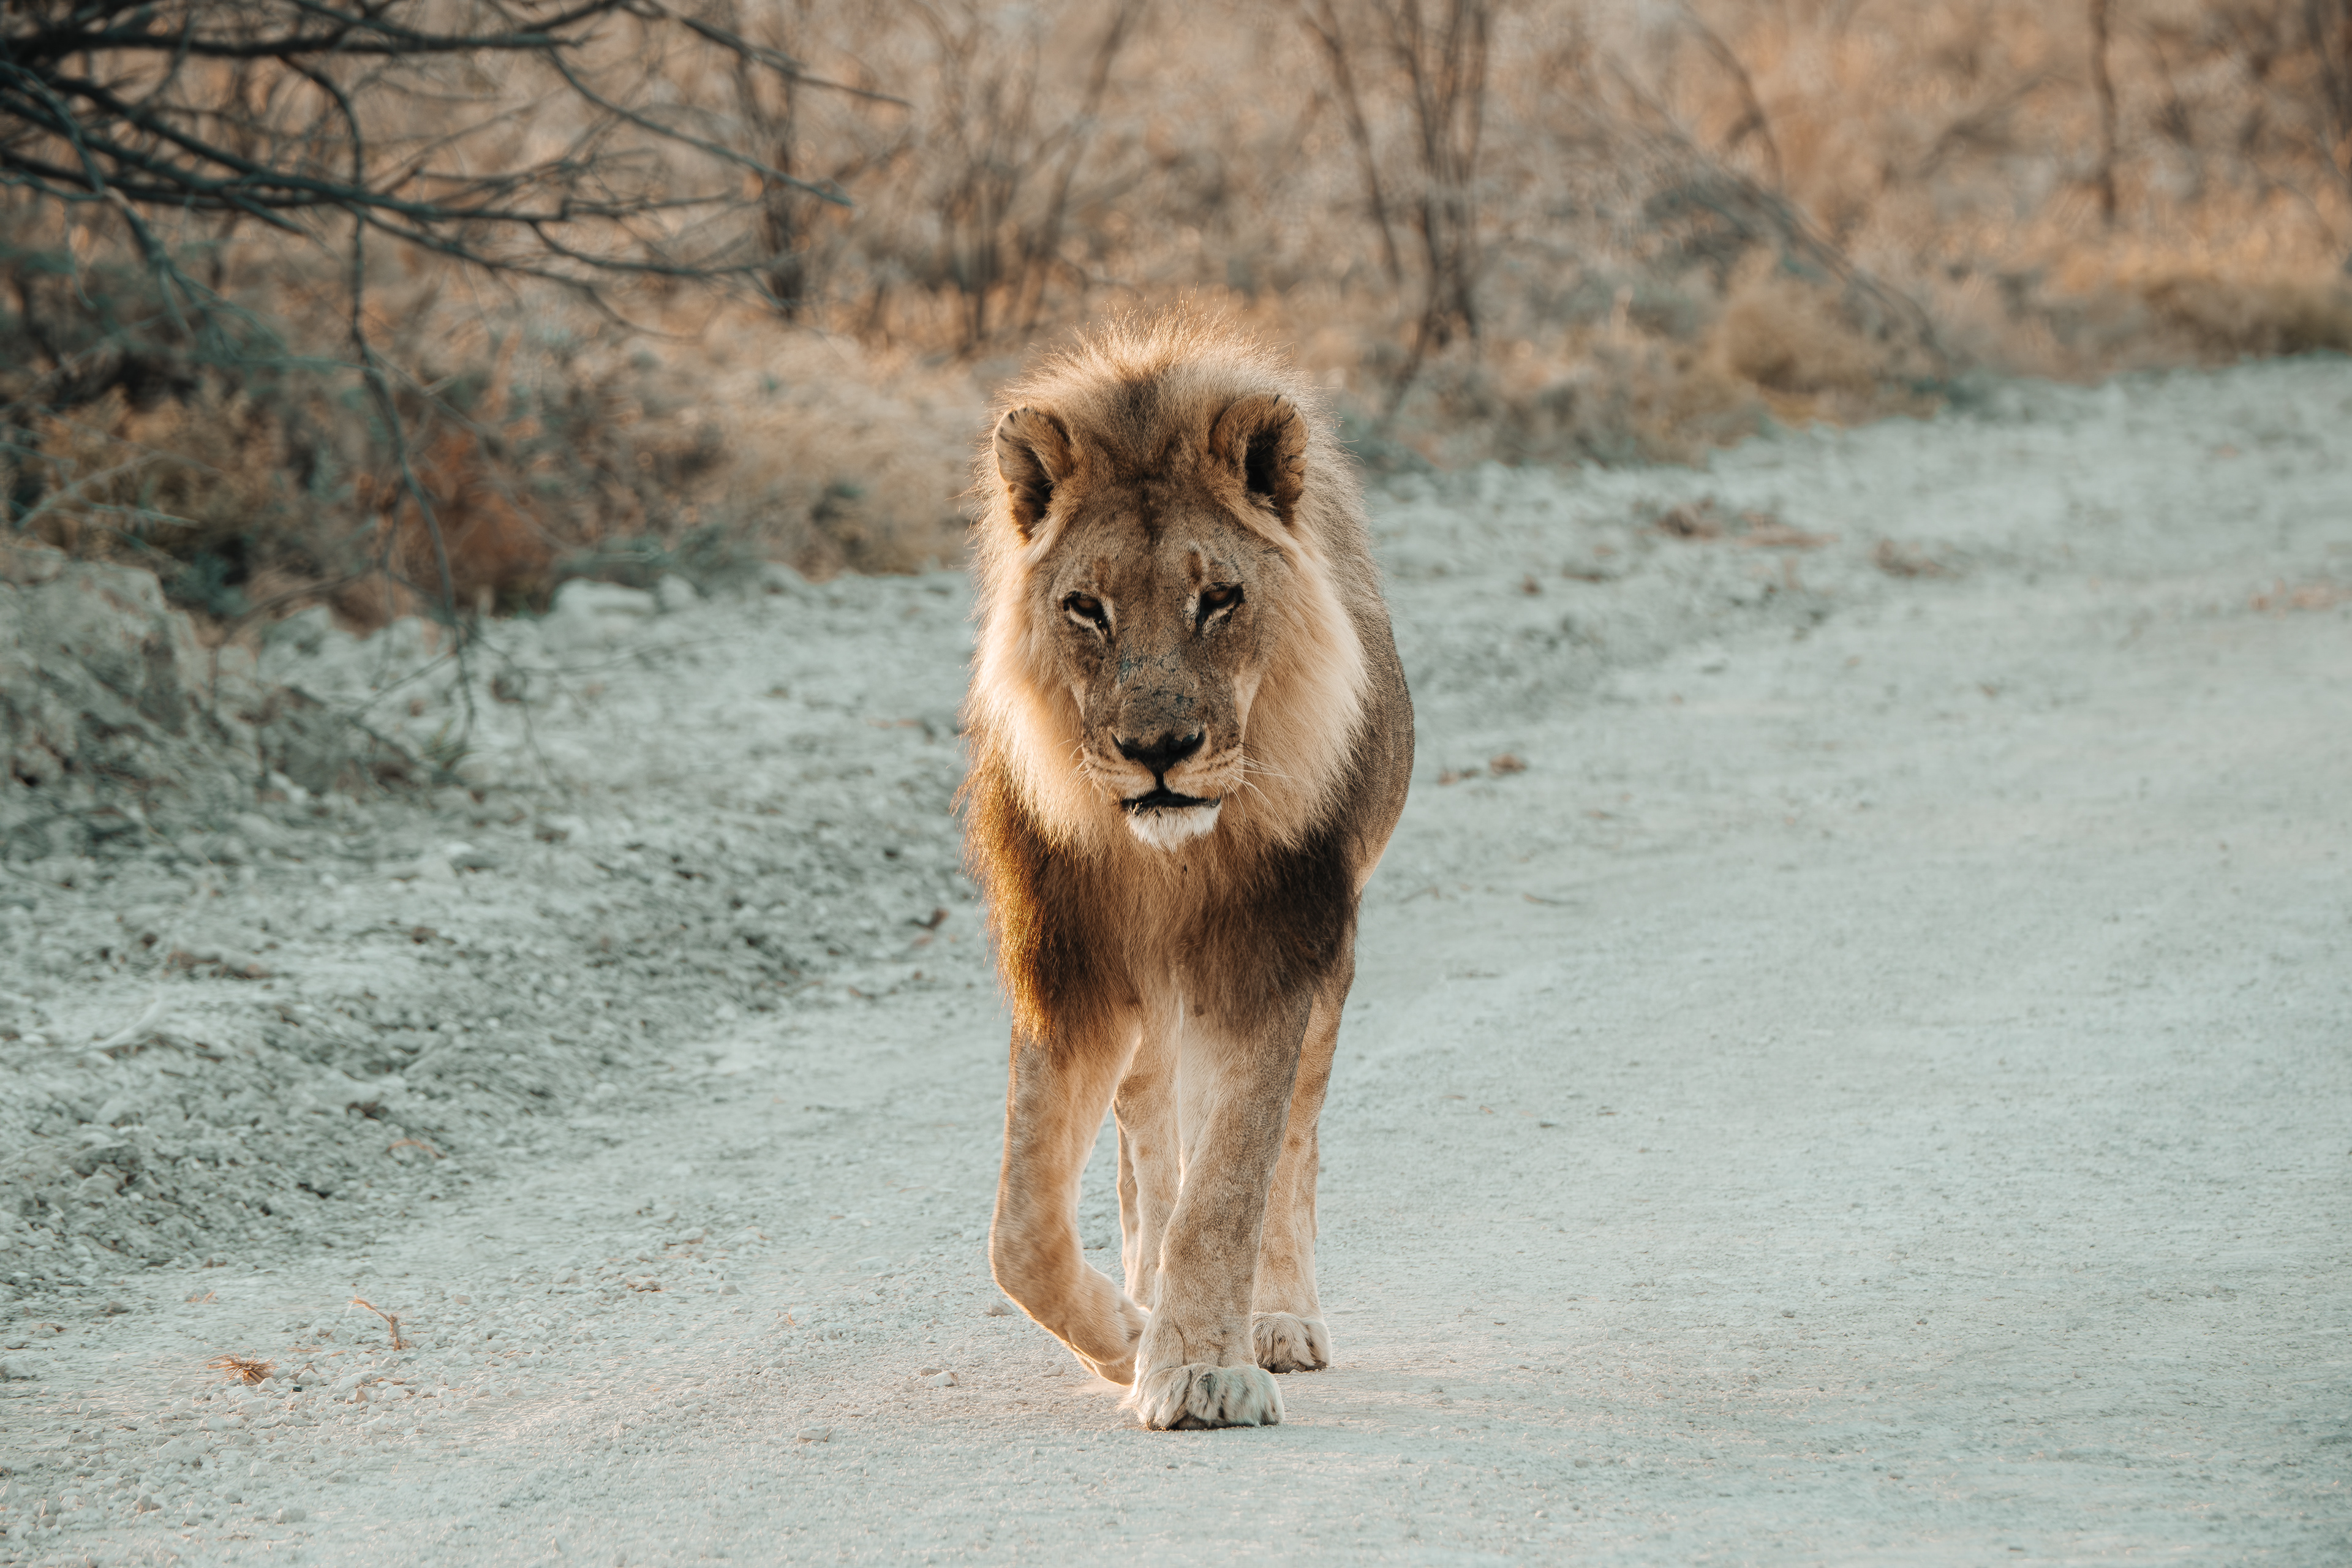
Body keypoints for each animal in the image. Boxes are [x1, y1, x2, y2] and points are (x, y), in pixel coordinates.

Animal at [960, 316, 1413, 1430]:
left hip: (1320, 969)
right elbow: (1021, 1234)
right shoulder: (1072, 970)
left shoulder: (1272, 955)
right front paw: (1129, 1337)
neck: (1162, 860)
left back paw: (1276, 1318)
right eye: (1086, 608)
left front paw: (1204, 1368)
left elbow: (1233, 1182)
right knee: (1146, 1146)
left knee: (1290, 1146)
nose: (1157, 750)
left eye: (1219, 600)